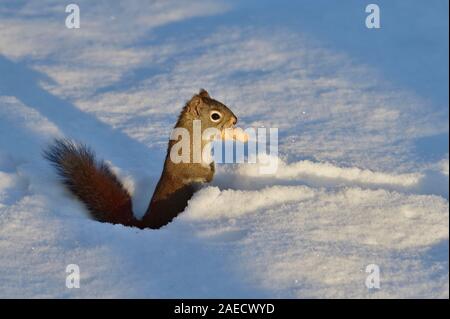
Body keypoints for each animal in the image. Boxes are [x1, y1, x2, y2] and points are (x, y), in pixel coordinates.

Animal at [44, 89, 239, 230]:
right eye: (215, 115)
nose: (235, 120)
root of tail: (144, 224)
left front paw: (213, 168)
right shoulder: (182, 160)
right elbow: (191, 171)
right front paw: (208, 174)